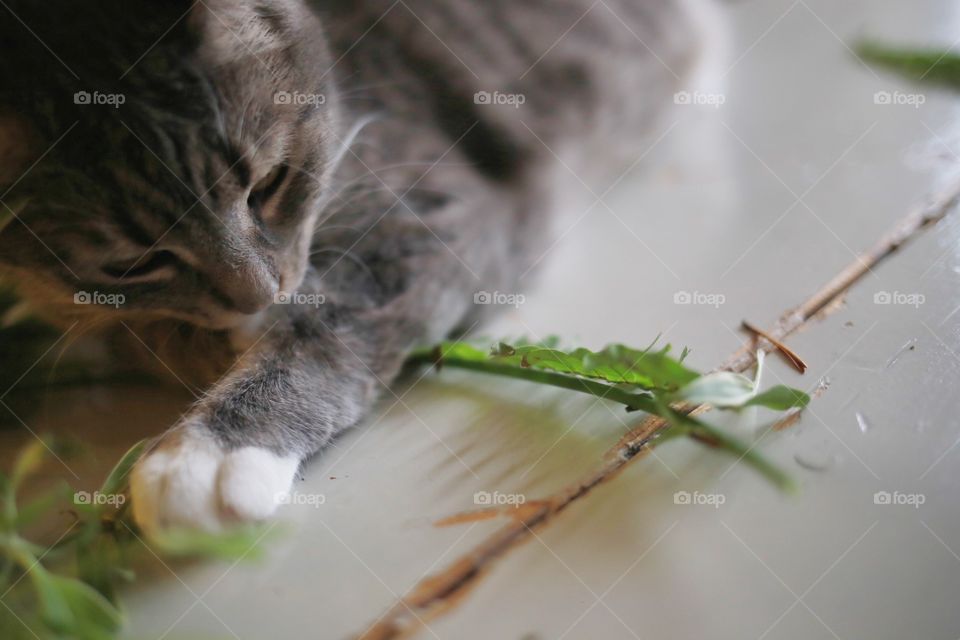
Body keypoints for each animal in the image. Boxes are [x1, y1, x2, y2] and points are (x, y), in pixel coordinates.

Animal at [0, 0, 704, 528]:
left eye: (269, 183)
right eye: (135, 263)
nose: (262, 294)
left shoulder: (444, 217)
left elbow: (326, 326)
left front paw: (209, 454)